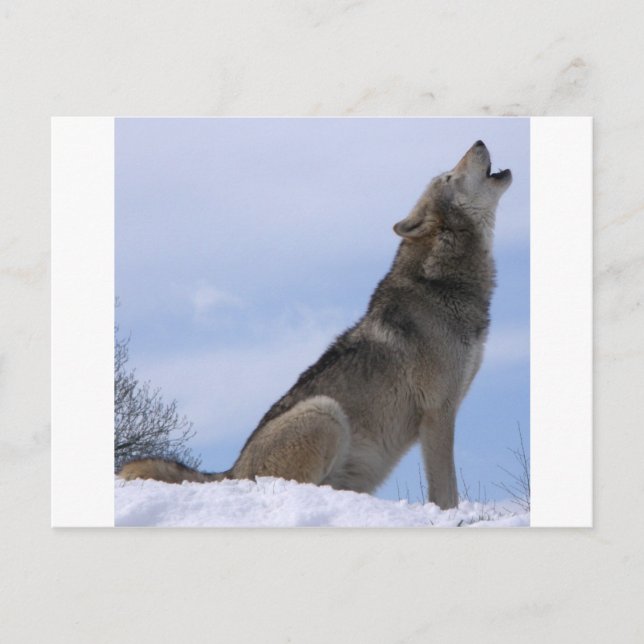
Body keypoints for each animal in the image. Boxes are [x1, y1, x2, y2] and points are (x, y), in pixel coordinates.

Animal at [119, 140, 512, 509]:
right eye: (448, 176)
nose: (479, 140)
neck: (442, 282)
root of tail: (231, 472)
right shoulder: (437, 412)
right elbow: (446, 491)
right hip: (325, 411)